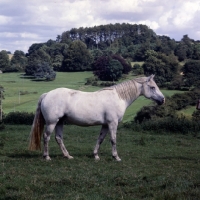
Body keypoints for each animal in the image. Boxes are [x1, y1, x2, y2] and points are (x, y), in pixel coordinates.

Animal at [28, 74, 165, 161]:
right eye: (152, 87)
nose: (162, 100)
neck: (118, 97)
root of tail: (47, 94)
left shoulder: (105, 124)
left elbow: (100, 139)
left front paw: (96, 156)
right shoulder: (112, 123)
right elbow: (113, 140)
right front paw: (116, 157)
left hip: (60, 122)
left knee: (58, 138)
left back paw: (68, 156)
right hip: (52, 122)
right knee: (46, 137)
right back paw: (47, 157)